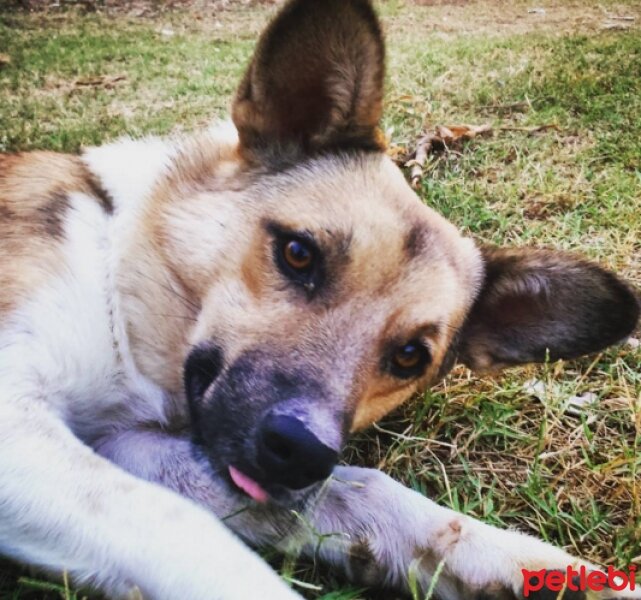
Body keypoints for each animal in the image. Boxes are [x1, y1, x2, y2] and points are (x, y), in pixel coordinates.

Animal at [1, 1, 640, 600]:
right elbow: (188, 531)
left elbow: (364, 492)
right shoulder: (23, 427)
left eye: (410, 356)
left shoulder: (129, 444)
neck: (118, 274)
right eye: (298, 254)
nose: (301, 453)